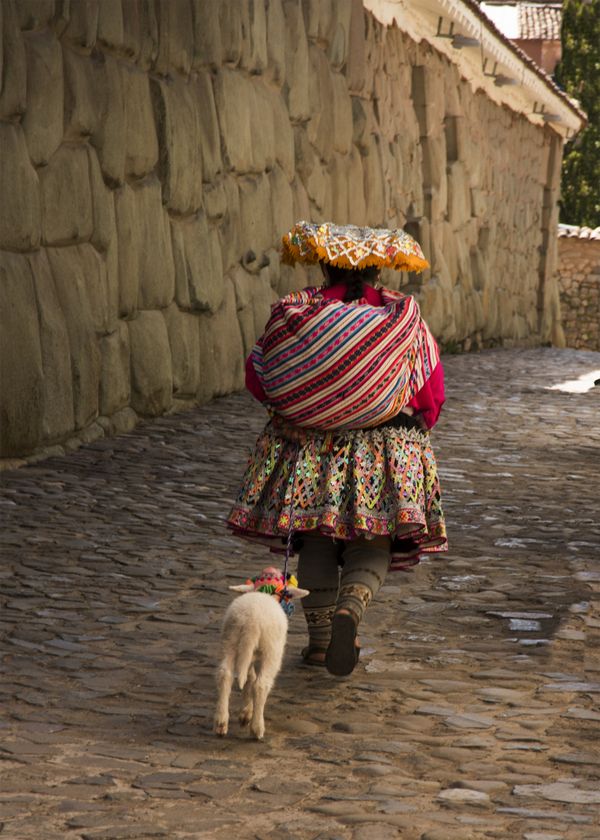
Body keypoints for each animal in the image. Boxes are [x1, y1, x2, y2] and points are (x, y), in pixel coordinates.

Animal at [214, 568, 310, 740]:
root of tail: (250, 621)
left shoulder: (249, 656)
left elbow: (249, 679)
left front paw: (246, 712)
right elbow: (253, 681)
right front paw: (249, 714)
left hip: (230, 641)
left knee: (225, 674)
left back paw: (221, 722)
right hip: (272, 650)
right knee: (261, 685)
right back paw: (257, 729)